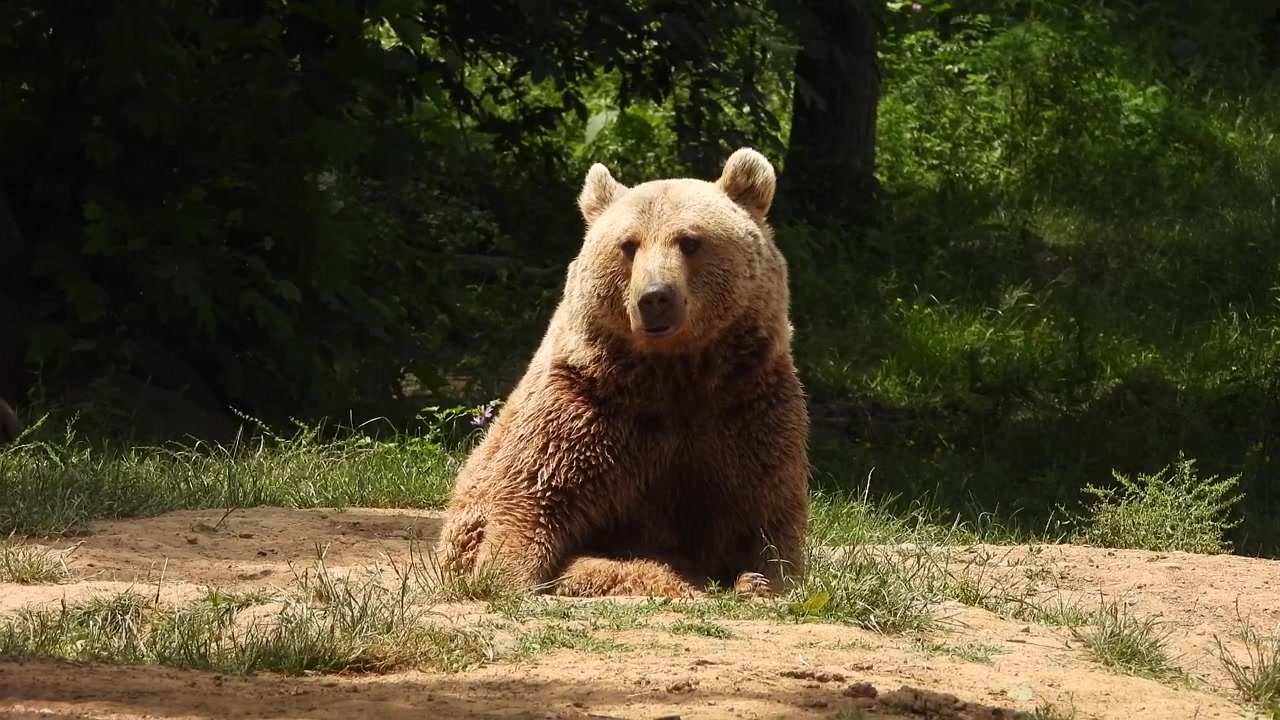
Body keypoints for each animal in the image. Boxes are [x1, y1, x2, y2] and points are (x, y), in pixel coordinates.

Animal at [432, 148, 811, 599]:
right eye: (629, 245)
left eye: (690, 241)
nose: (655, 297)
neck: (675, 372)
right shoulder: (588, 400)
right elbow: (537, 488)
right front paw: (504, 576)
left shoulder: (746, 403)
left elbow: (766, 504)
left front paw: (762, 579)